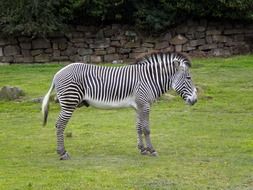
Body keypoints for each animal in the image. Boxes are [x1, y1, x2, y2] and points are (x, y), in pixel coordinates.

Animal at [41, 51, 198, 160]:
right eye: (189, 78)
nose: (195, 100)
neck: (149, 79)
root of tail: (57, 74)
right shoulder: (144, 105)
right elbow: (146, 129)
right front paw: (152, 150)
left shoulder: (138, 106)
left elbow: (138, 128)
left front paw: (142, 149)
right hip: (69, 102)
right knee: (60, 125)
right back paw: (63, 153)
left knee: (59, 125)